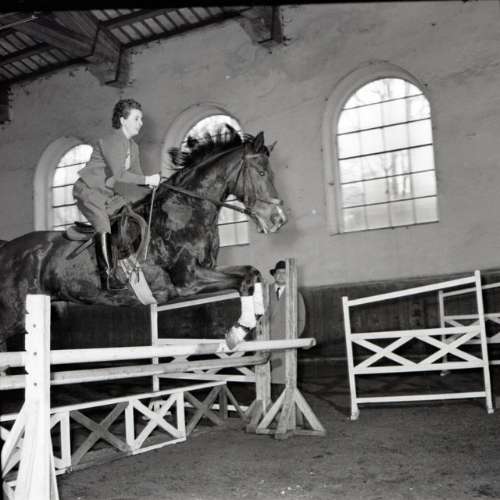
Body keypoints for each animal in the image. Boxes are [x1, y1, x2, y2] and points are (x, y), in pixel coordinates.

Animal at [0, 127, 287, 355]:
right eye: (261, 172)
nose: (278, 220)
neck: (186, 209)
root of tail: (7, 249)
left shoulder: (207, 270)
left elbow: (251, 273)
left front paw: (252, 318)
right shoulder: (188, 280)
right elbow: (243, 279)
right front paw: (237, 333)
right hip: (14, 313)